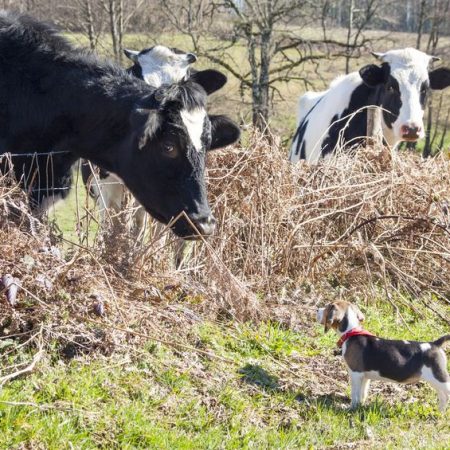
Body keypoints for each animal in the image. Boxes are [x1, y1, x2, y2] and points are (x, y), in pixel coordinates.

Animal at [316, 302, 450, 412]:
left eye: (328, 306)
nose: (317, 309)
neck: (351, 332)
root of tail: (435, 344)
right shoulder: (364, 377)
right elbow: (362, 393)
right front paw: (360, 406)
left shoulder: (355, 374)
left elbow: (355, 393)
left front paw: (351, 408)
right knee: (443, 397)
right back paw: (440, 412)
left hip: (439, 377)